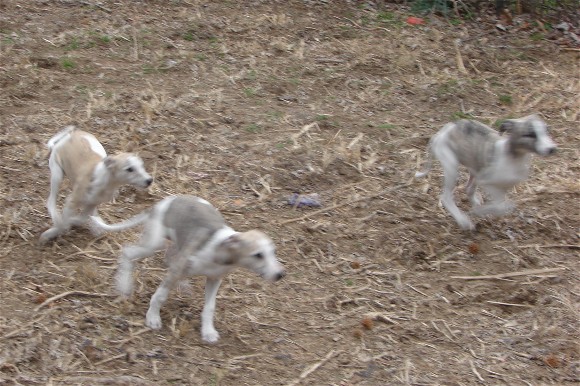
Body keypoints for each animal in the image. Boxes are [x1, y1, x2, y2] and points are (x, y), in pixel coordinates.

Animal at [91, 196, 286, 344]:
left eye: (273, 252)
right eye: (258, 255)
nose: (280, 274)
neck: (220, 249)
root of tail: (162, 203)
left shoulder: (214, 279)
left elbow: (210, 307)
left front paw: (208, 332)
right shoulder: (178, 270)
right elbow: (160, 296)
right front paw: (153, 318)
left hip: (173, 245)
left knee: (168, 256)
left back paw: (183, 285)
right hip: (153, 243)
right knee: (127, 252)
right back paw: (124, 286)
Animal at [414, 114, 556, 229]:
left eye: (546, 131)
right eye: (531, 134)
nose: (552, 149)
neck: (513, 158)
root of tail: (442, 132)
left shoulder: (500, 187)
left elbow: (503, 205)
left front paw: (480, 210)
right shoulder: (487, 183)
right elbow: (503, 206)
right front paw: (479, 212)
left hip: (473, 168)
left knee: (468, 189)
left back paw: (474, 204)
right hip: (452, 167)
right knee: (446, 197)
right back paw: (463, 221)